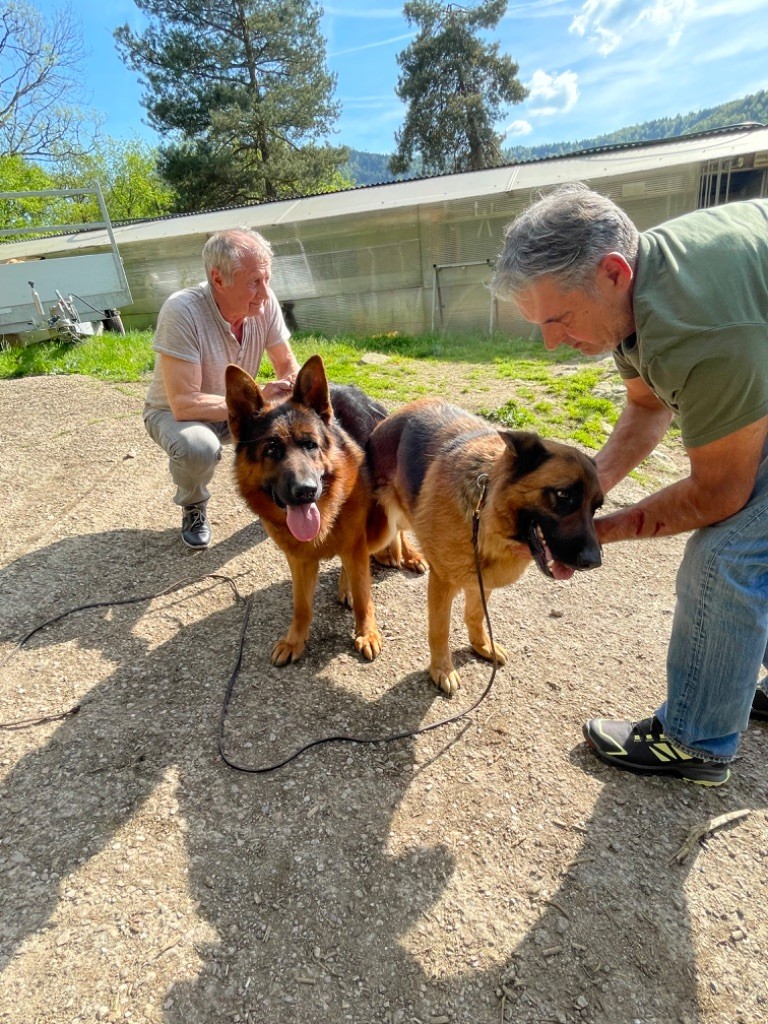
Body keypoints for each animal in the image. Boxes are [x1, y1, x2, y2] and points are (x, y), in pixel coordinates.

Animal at [224, 356, 428, 667]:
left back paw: (409, 555)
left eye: (310, 445)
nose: (306, 490)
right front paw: (295, 640)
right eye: (270, 449)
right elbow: (302, 605)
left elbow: (364, 596)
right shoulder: (299, 560)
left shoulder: (356, 545)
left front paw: (367, 633)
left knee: (396, 531)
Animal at [368, 399, 606, 696]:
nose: (594, 561)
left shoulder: (483, 581)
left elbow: (476, 615)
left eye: (597, 507)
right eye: (563, 495)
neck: (484, 517)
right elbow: (440, 629)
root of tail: (393, 415)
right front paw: (442, 669)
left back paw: (409, 555)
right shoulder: (442, 582)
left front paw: (481, 645)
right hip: (383, 517)